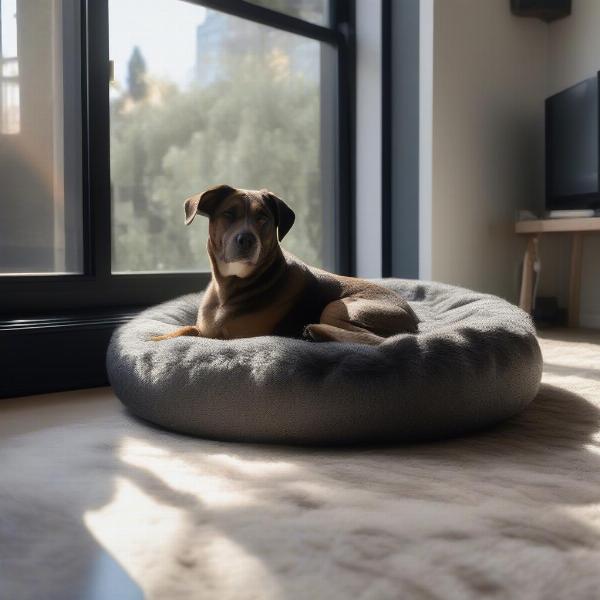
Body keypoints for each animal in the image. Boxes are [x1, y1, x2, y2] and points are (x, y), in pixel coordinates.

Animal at [152, 183, 420, 344]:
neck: (230, 287)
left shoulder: (234, 336)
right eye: (228, 214)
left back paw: (314, 332)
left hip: (338, 308)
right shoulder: (205, 328)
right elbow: (186, 330)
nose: (246, 239)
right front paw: (155, 340)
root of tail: (414, 320)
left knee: (372, 340)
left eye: (263, 217)